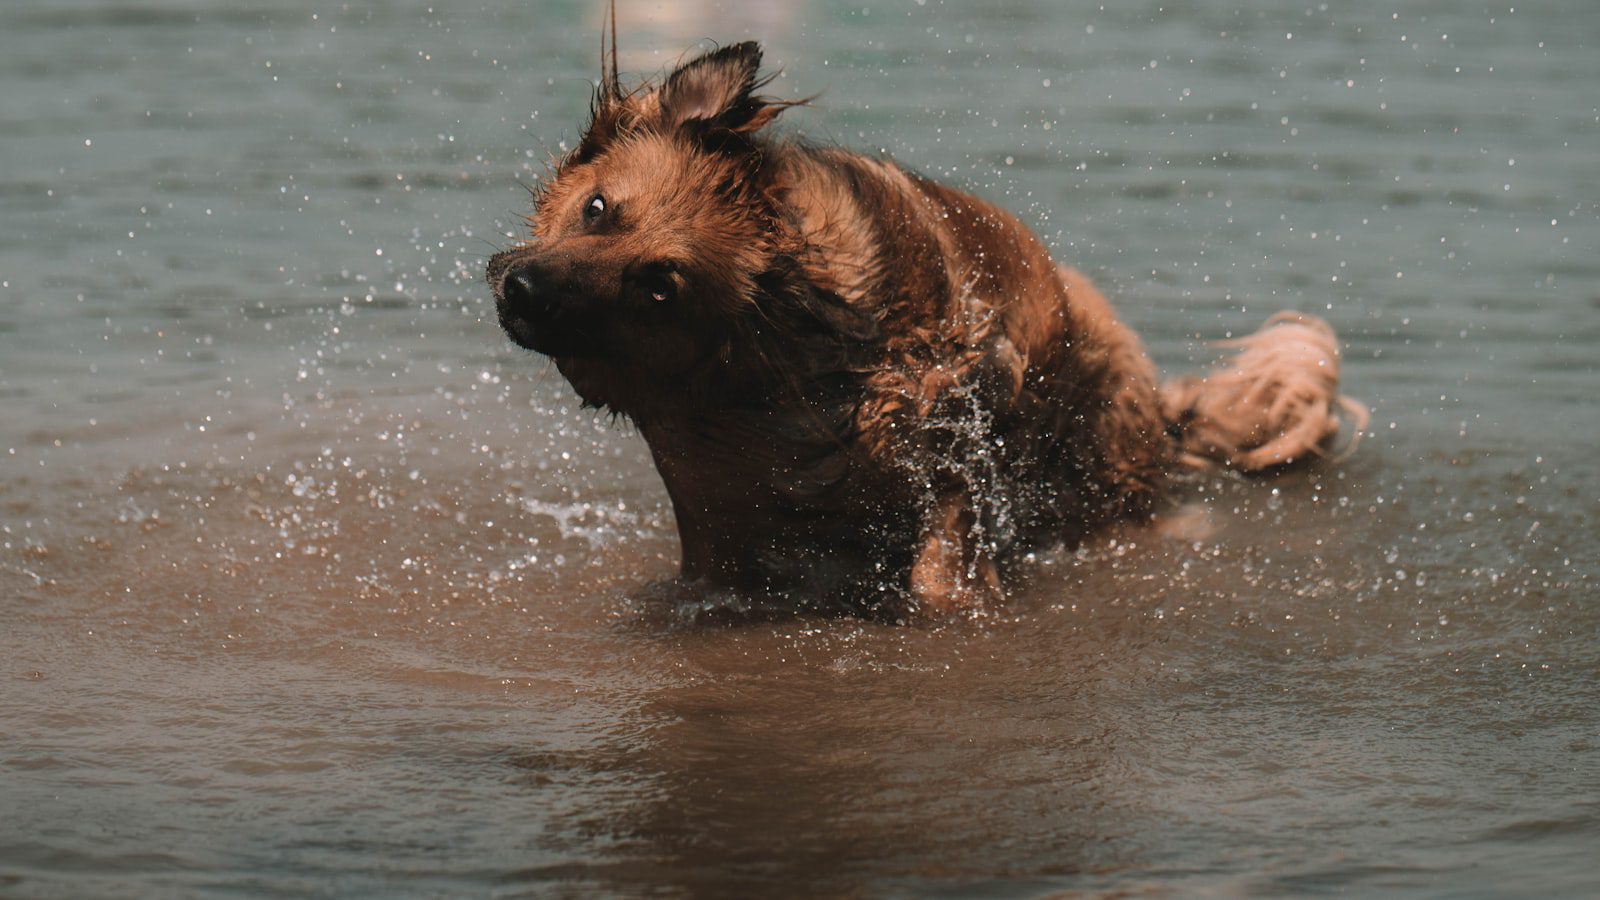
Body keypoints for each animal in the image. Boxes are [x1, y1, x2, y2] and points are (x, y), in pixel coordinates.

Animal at [483, 35, 1363, 608]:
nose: (519, 288)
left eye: (659, 287)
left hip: (1097, 479)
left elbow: (942, 570)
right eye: (598, 209)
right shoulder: (709, 509)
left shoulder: (948, 432)